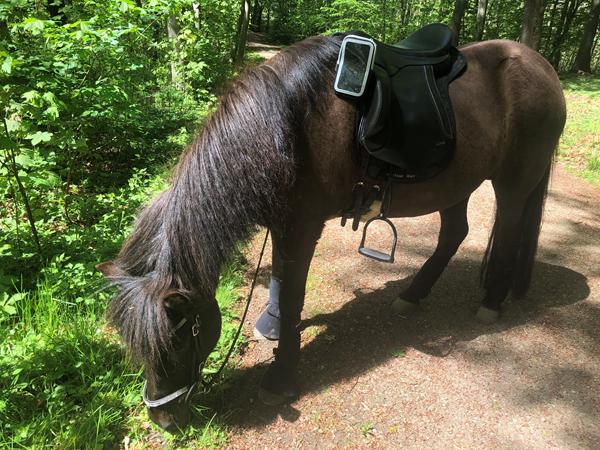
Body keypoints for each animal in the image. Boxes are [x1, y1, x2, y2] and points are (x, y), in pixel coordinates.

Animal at [96, 33, 564, 430]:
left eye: (177, 341)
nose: (162, 418)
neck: (289, 128)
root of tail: (541, 65)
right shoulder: (284, 224)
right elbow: (279, 279)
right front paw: (271, 324)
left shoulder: (303, 226)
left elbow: (294, 293)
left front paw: (281, 376)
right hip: (455, 182)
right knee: (454, 234)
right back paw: (413, 294)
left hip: (513, 182)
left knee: (507, 232)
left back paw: (491, 301)